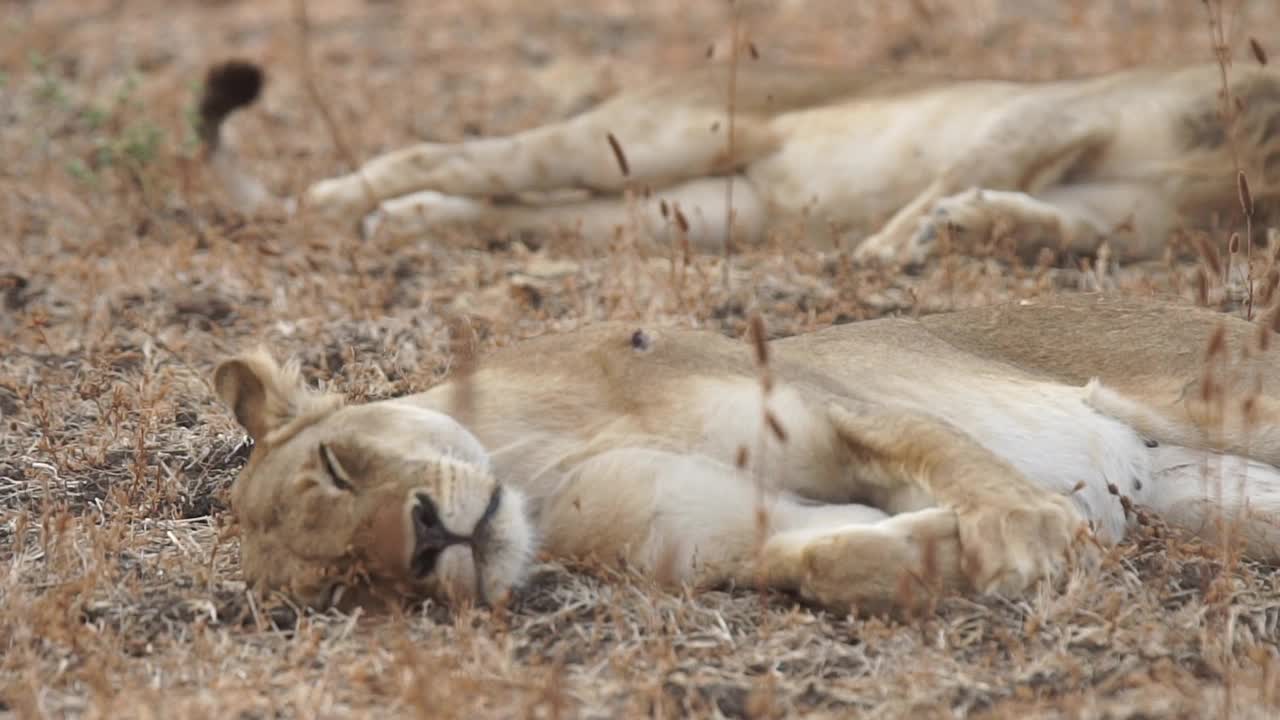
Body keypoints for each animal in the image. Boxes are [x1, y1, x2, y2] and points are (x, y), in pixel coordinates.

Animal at [217, 294, 1280, 614]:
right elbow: (831, 560)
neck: (538, 470)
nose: (428, 539)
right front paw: (944, 556)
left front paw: (1026, 534)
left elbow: (951, 458)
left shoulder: (823, 409)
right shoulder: (734, 536)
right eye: (356, 583)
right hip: (1215, 503)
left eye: (339, 465)